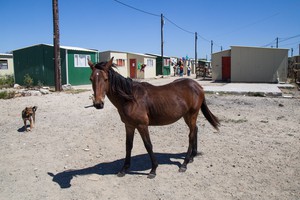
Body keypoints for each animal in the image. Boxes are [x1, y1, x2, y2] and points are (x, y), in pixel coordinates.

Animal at [88, 57, 219, 178]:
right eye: (91, 79)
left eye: (106, 79)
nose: (98, 104)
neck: (130, 98)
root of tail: (198, 86)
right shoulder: (129, 125)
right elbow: (128, 145)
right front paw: (124, 169)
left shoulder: (142, 125)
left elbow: (148, 145)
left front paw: (153, 169)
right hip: (187, 115)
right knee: (195, 130)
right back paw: (192, 157)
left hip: (192, 114)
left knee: (191, 136)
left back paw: (184, 164)